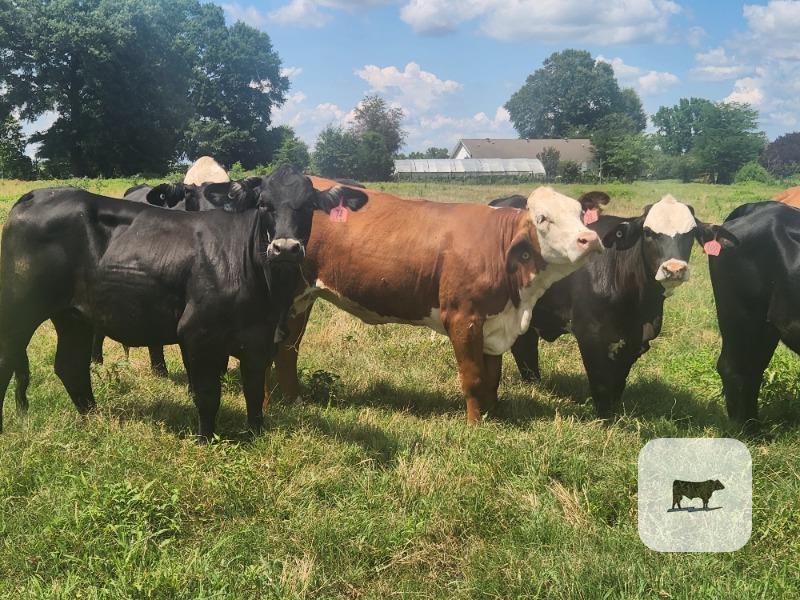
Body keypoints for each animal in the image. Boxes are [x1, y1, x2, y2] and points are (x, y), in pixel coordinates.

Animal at [0, 166, 369, 440]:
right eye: (264, 204)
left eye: (309, 206)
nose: (286, 248)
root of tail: (38, 195)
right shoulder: (198, 333)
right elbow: (206, 394)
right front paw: (206, 440)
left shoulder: (260, 339)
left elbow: (253, 390)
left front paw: (256, 433)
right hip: (19, 307)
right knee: (11, 360)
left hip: (73, 314)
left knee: (70, 365)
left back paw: (95, 419)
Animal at [266, 181, 634, 424]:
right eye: (542, 218)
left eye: (580, 214)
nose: (589, 239)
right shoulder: (462, 317)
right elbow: (473, 377)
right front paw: (474, 425)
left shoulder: (494, 321)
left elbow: (492, 376)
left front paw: (494, 416)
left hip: (302, 300)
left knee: (287, 351)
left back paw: (294, 401)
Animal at [490, 194, 738, 419]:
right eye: (648, 233)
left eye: (691, 234)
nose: (674, 269)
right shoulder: (589, 335)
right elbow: (600, 382)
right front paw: (604, 417)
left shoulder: (636, 341)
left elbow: (618, 382)